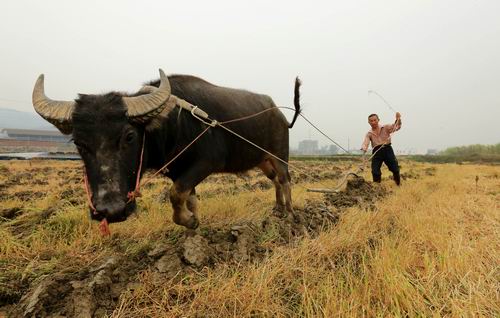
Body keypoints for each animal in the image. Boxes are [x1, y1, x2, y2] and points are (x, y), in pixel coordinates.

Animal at [34, 69, 304, 229]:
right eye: (78, 143)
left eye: (130, 136)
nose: (110, 211)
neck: (172, 124)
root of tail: (281, 115)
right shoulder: (178, 171)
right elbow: (188, 197)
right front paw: (194, 221)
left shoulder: (206, 163)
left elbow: (175, 194)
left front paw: (188, 222)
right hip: (263, 160)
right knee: (275, 181)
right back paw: (278, 210)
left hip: (280, 156)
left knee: (285, 180)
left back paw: (291, 215)